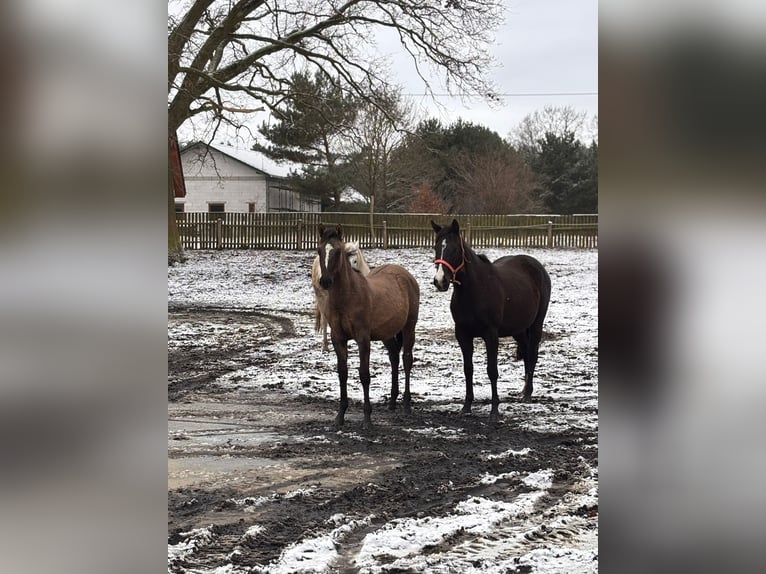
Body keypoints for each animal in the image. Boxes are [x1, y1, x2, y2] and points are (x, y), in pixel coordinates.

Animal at [317, 224, 420, 429]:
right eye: (319, 250)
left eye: (337, 251)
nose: (325, 281)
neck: (347, 297)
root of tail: (407, 276)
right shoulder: (338, 339)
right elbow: (342, 373)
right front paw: (340, 416)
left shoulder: (363, 339)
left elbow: (364, 374)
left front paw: (367, 419)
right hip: (387, 334)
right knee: (394, 357)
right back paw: (392, 402)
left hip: (409, 328)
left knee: (406, 360)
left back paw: (406, 404)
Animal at [431, 219, 551, 423]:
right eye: (436, 247)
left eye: (454, 249)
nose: (440, 281)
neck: (474, 290)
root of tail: (536, 266)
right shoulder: (462, 335)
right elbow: (468, 369)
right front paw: (466, 407)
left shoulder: (491, 334)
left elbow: (492, 370)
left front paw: (494, 410)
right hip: (518, 330)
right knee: (526, 353)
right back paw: (523, 391)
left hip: (536, 324)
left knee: (533, 354)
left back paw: (528, 394)